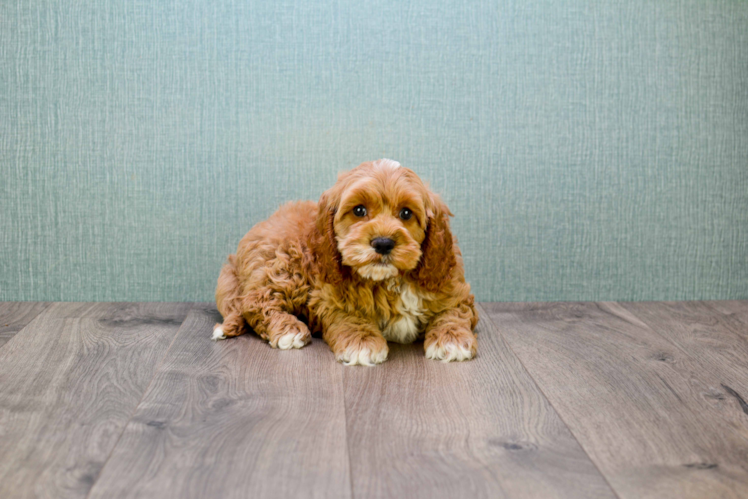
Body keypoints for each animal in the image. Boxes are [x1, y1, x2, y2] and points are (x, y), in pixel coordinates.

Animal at [213, 160, 476, 368]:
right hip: (287, 266)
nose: (383, 243)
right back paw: (289, 330)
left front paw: (453, 339)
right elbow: (350, 316)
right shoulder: (329, 297)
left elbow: (453, 312)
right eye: (359, 210)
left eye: (406, 213)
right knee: (254, 301)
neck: (388, 280)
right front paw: (362, 343)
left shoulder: (453, 289)